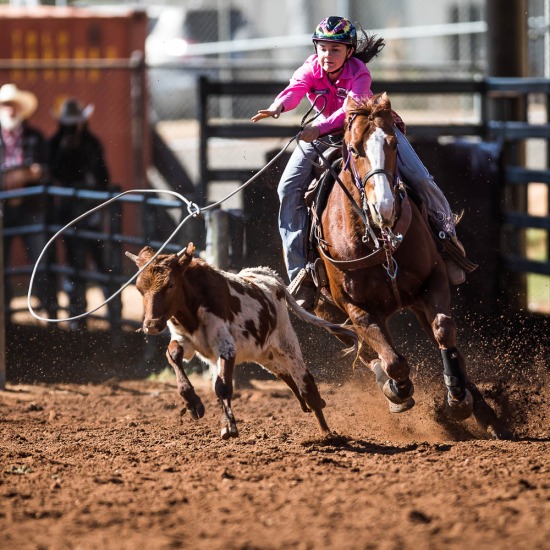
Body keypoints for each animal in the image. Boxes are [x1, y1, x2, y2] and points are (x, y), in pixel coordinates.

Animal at [127, 244, 358, 442]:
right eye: (139, 289)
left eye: (170, 284)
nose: (151, 325)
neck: (192, 309)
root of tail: (272, 279)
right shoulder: (185, 340)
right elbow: (173, 354)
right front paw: (193, 403)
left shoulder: (226, 347)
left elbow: (222, 387)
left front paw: (229, 426)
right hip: (264, 355)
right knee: (285, 375)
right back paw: (307, 406)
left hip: (287, 345)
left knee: (305, 380)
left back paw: (326, 432)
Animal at [312, 94, 512, 440]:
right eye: (354, 149)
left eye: (393, 144)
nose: (385, 207)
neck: (378, 239)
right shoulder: (356, 308)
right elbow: (393, 361)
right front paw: (398, 390)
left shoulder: (433, 281)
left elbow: (444, 330)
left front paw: (458, 399)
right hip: (331, 315)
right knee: (369, 352)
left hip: (414, 301)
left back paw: (485, 414)